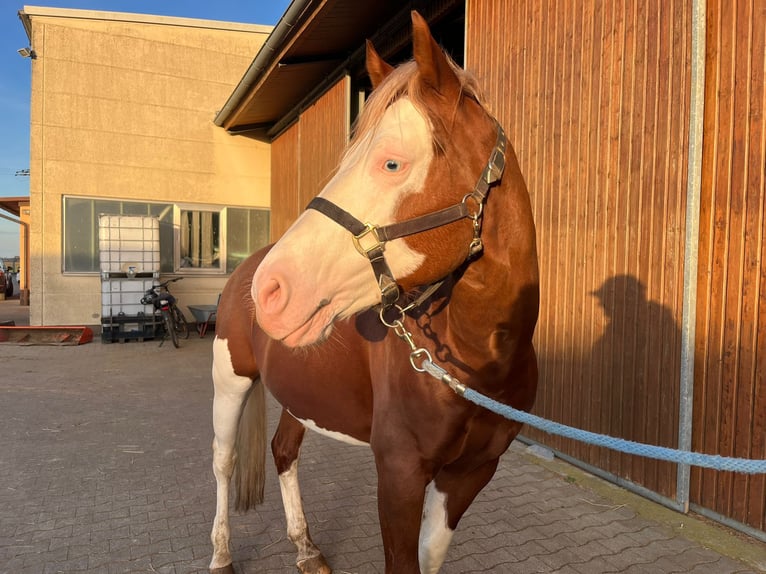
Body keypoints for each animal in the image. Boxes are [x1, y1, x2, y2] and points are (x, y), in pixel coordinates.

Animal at [209, 11, 539, 574]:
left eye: (391, 163)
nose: (271, 290)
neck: (472, 359)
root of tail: (243, 269)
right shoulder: (399, 472)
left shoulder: (469, 475)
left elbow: (430, 558)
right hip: (230, 382)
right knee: (224, 462)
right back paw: (221, 555)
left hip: (300, 393)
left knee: (283, 451)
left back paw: (306, 549)